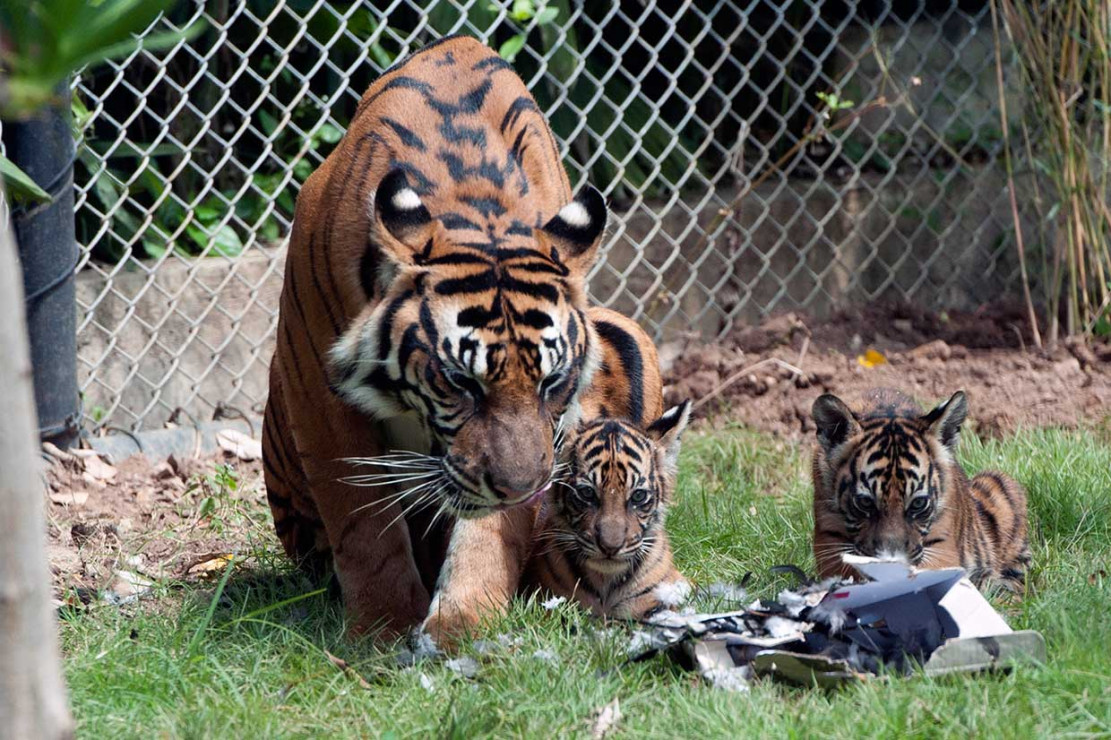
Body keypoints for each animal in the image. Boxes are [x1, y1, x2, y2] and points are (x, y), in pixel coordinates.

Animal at [261, 37, 653, 644]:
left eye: (552, 383)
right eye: (459, 382)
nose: (520, 487)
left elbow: (492, 527)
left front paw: (465, 622)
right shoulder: (318, 390)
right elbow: (361, 519)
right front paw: (383, 629)